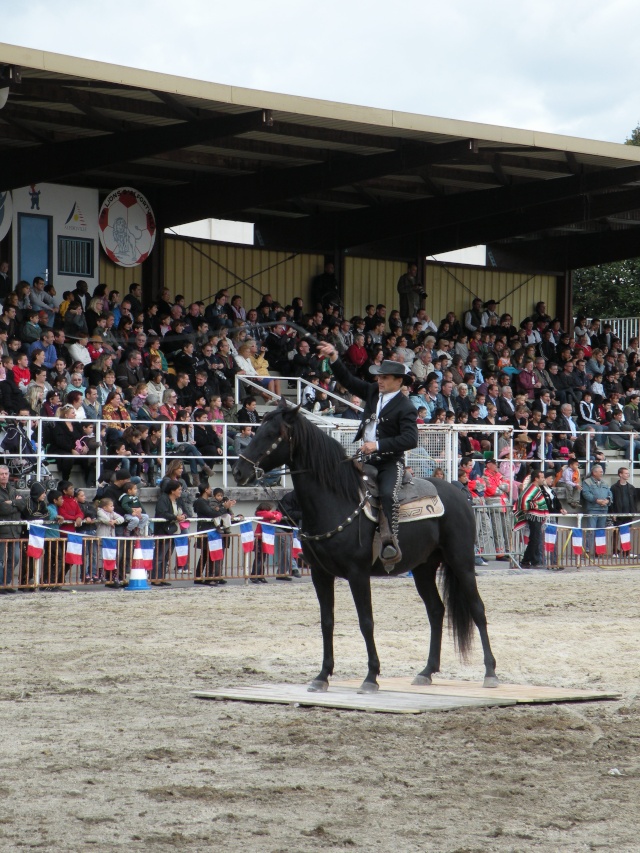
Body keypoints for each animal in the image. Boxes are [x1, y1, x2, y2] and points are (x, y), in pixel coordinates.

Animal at [232, 404, 498, 692]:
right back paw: (427, 671)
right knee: (436, 610)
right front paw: (322, 675)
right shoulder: (320, 574)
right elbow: (327, 622)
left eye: (272, 434)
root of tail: (459, 495)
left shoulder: (358, 574)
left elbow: (366, 621)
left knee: (478, 609)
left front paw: (371, 676)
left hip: (461, 562)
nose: (238, 471)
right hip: (423, 568)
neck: (336, 500)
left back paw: (490, 673)